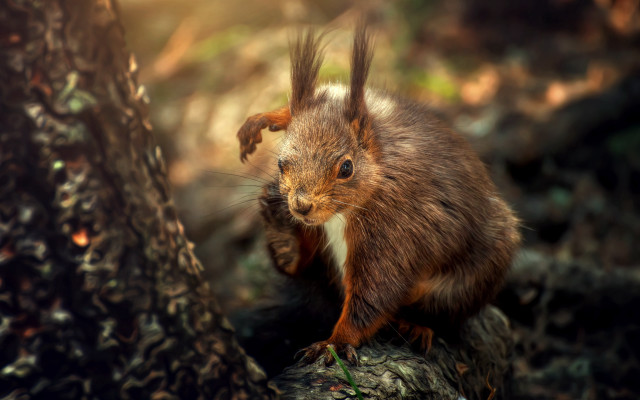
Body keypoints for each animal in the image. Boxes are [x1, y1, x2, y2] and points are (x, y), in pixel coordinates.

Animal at [236, 24, 521, 365]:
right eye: (280, 164)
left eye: (346, 168)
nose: (301, 206)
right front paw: (267, 118)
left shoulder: (395, 229)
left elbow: (375, 294)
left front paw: (335, 342)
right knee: (309, 272)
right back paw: (283, 237)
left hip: (469, 280)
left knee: (440, 313)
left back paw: (415, 325)